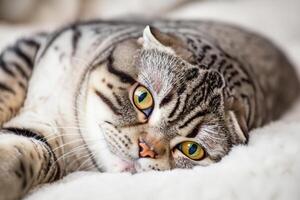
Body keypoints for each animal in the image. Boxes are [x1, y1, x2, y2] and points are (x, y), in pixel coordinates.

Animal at [0, 19, 300, 199]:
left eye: (192, 149)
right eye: (142, 98)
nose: (145, 148)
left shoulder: (49, 145)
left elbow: (26, 150)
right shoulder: (32, 47)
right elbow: (6, 86)